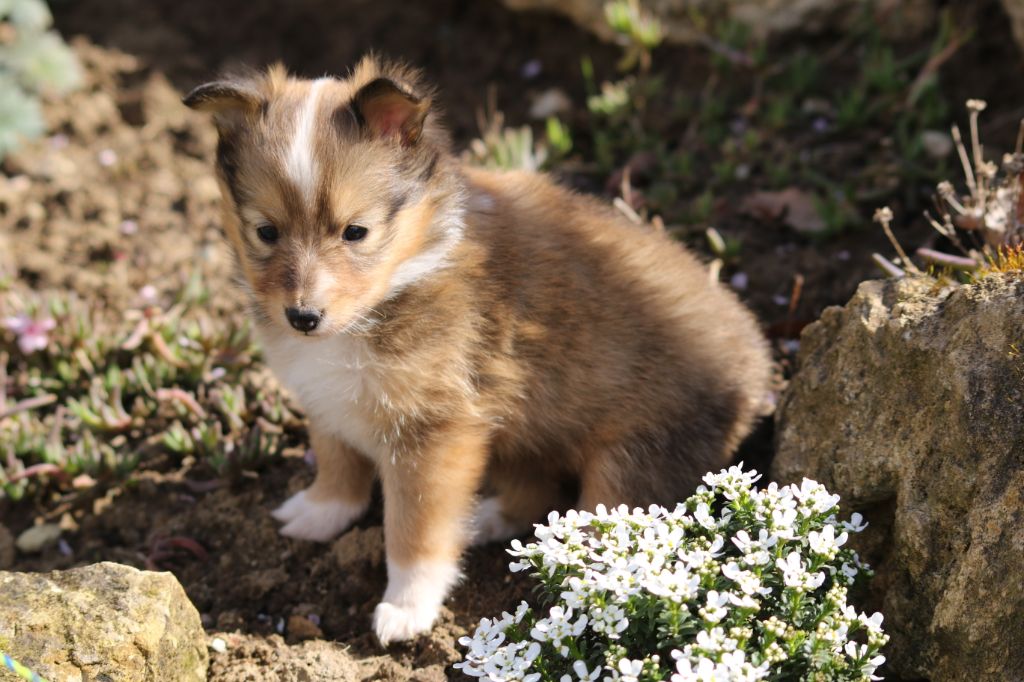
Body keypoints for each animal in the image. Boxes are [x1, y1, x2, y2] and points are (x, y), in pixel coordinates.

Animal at [186, 57, 770, 643]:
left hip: (630, 461)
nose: (303, 318)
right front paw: (318, 513)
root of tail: (760, 372)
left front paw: (406, 608)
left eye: (356, 232)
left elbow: (414, 529)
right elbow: (337, 461)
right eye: (265, 232)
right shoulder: (328, 400)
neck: (406, 271)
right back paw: (492, 522)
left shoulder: (433, 433)